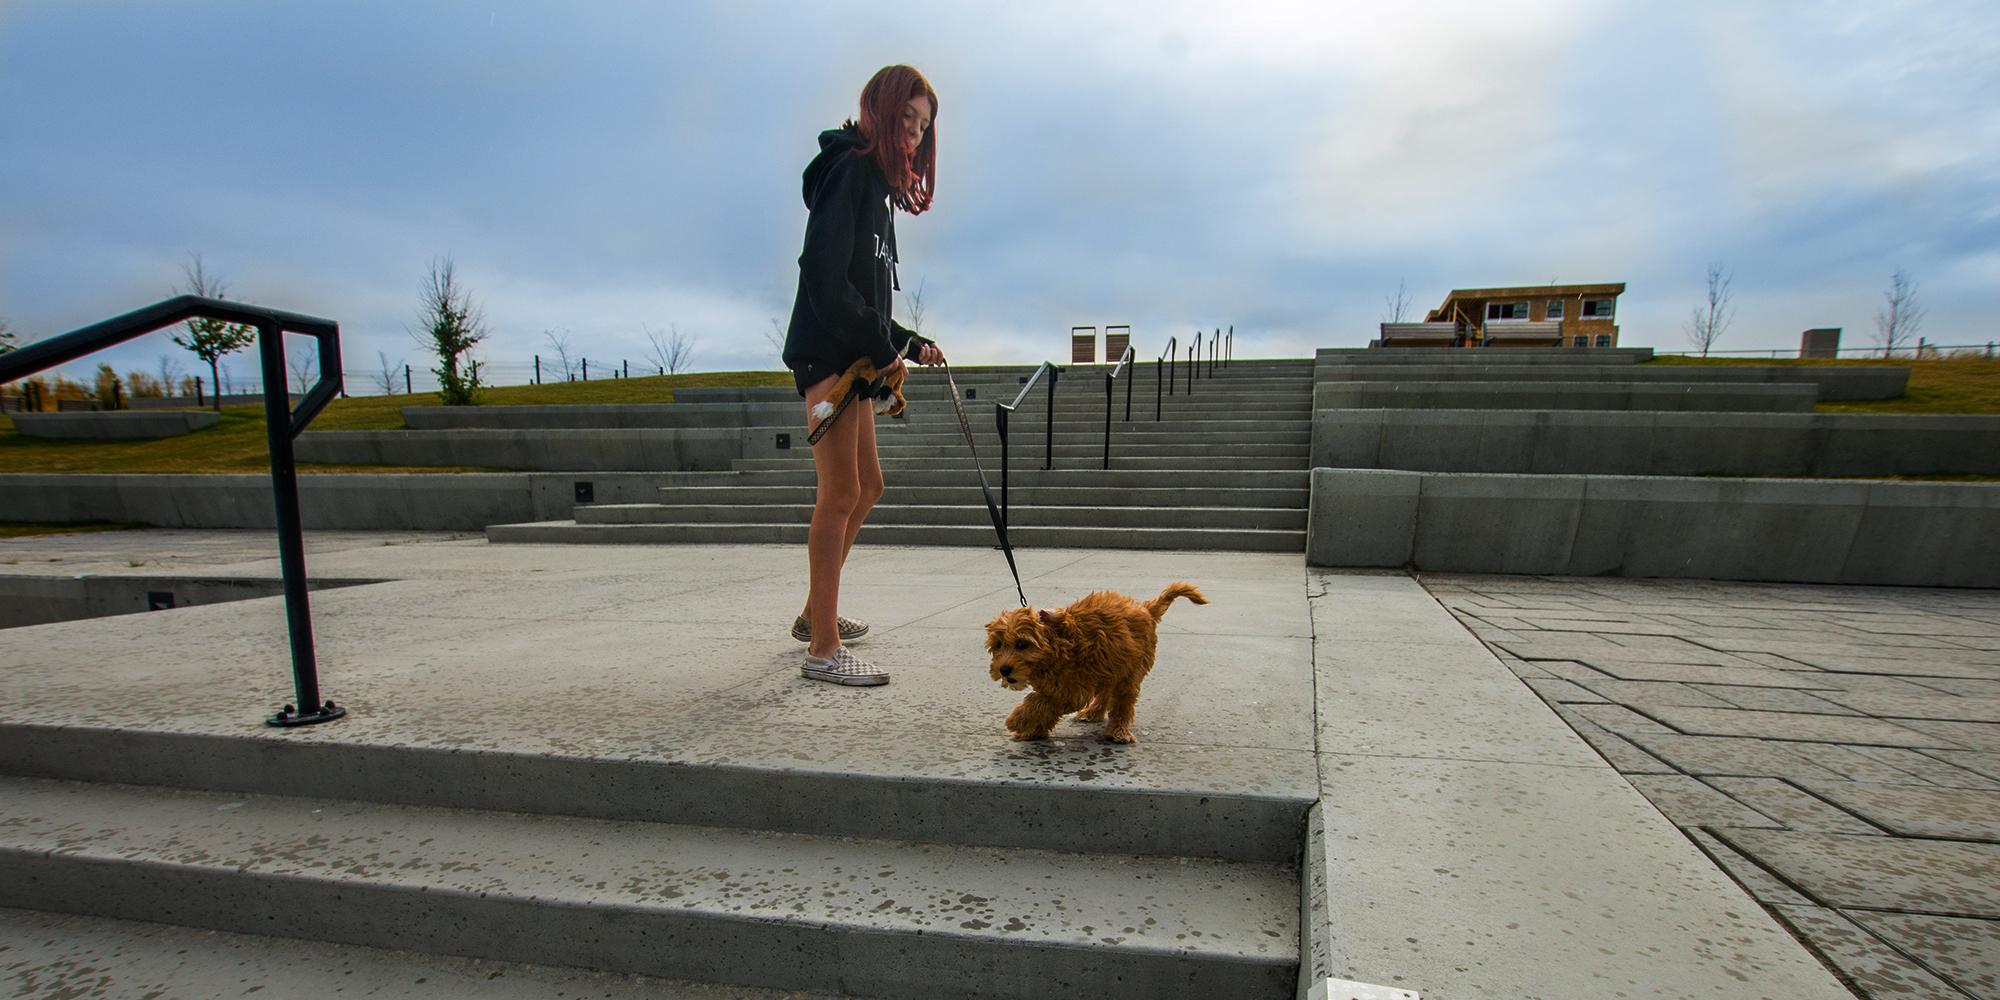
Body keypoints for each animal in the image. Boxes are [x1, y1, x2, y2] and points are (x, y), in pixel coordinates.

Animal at [984, 580, 1200, 744]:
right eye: (998, 645)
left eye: (1022, 644)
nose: (1004, 670)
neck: (1058, 647)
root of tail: (1145, 608)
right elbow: (1044, 704)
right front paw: (1033, 730)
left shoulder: (1072, 690)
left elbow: (1040, 703)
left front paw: (1017, 721)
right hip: (1110, 666)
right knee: (1106, 691)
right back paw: (1093, 713)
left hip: (1131, 669)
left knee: (1123, 701)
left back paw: (1118, 731)